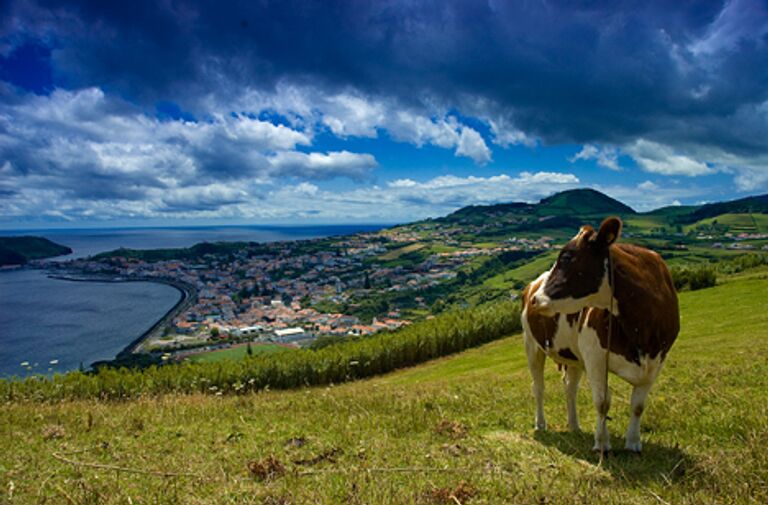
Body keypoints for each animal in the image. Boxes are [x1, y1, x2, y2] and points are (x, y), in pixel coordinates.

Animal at [520, 215, 680, 450]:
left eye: (566, 257)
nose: (535, 300)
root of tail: (531, 284)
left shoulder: (656, 360)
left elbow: (638, 405)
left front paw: (633, 443)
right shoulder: (594, 355)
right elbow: (602, 402)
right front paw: (602, 443)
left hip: (573, 355)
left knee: (570, 387)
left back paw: (574, 425)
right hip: (532, 345)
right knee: (538, 387)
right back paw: (541, 424)